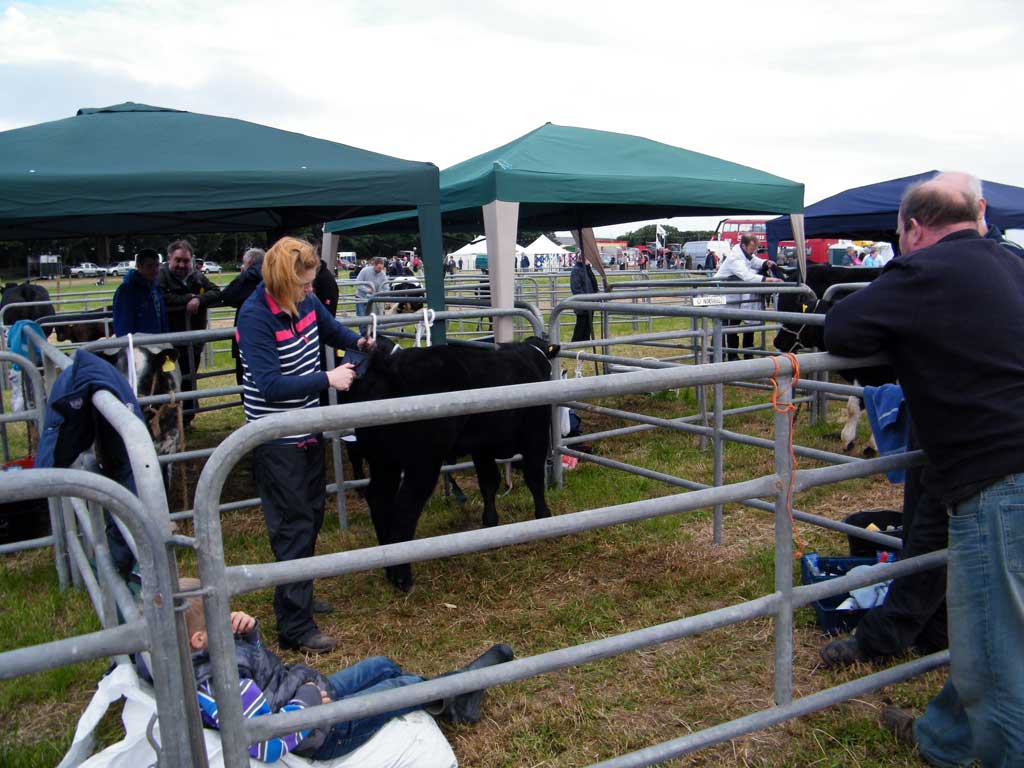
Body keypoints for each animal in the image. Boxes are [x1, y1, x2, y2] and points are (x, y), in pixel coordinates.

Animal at [348, 333, 565, 593]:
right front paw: (544, 516)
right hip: (422, 463)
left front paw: (490, 523)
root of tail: (390, 364)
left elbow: (489, 483)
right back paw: (403, 577)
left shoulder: (482, 448)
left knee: (379, 499)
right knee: (405, 507)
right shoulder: (536, 436)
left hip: (383, 461)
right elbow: (534, 479)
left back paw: (390, 569)